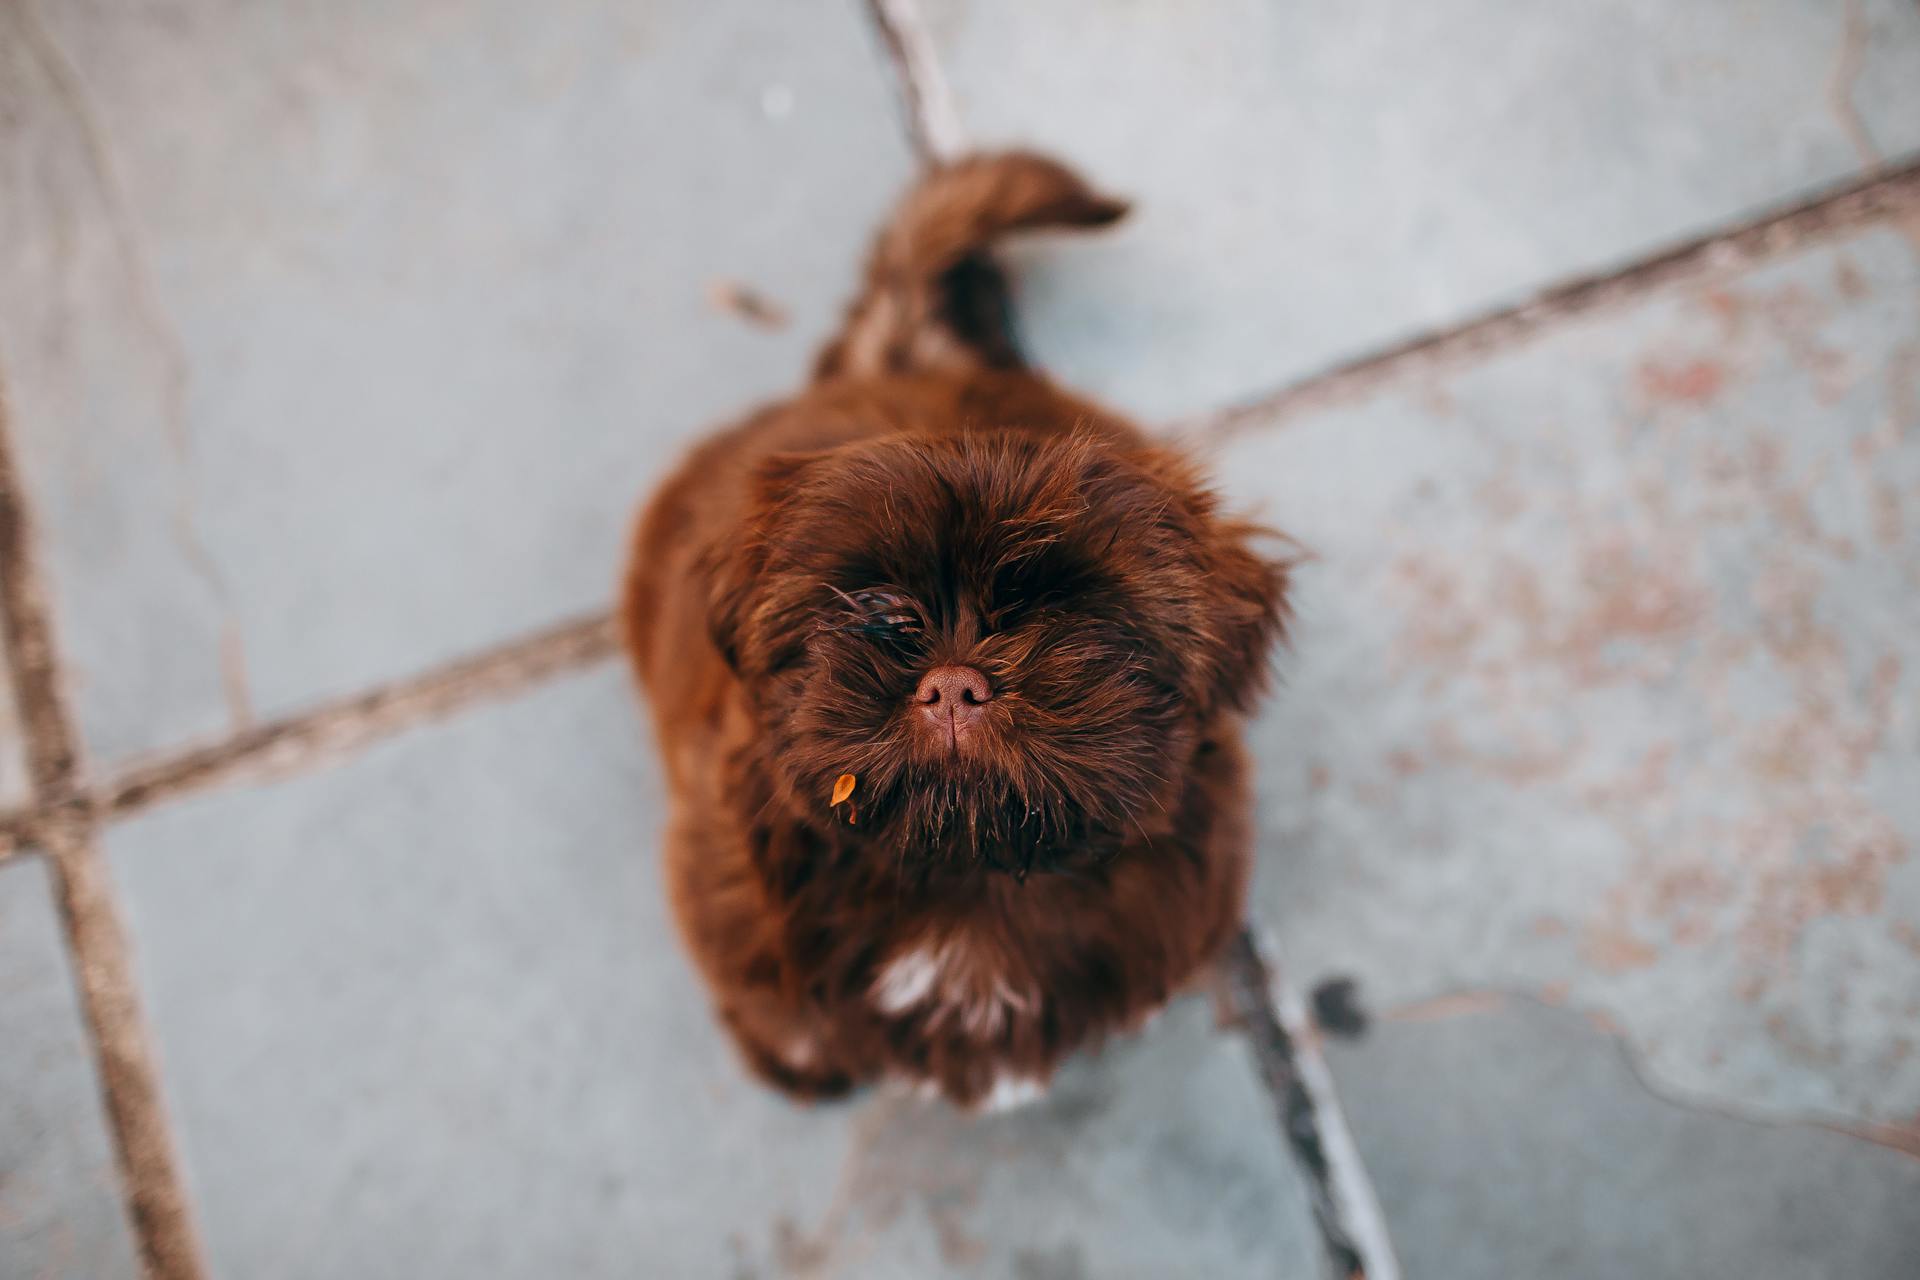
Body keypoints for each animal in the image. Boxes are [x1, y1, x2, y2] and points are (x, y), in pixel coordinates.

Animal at [629, 152, 1290, 1113]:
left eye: (1069, 617)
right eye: (875, 610)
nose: (954, 682)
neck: (970, 891)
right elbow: (783, 1011)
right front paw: (797, 1058)